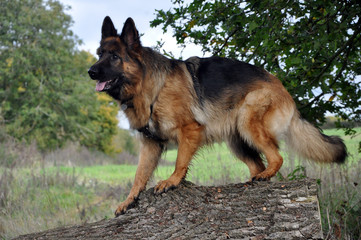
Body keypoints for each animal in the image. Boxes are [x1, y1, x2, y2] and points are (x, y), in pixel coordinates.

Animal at [87, 16, 346, 216]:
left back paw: (264, 176)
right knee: (259, 163)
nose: (90, 71)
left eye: (115, 57)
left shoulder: (190, 130)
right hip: (237, 141)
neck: (150, 86)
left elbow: (180, 161)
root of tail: (281, 87)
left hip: (248, 122)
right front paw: (129, 200)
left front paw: (172, 181)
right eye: (100, 54)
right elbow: (139, 175)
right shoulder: (150, 144)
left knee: (277, 157)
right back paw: (255, 179)